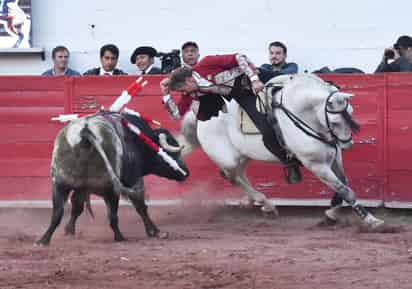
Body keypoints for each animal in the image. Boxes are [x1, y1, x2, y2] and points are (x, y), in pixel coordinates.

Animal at [37, 111, 188, 244]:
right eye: (173, 153)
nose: (186, 172)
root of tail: (86, 131)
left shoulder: (82, 188)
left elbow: (76, 207)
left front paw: (69, 231)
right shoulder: (134, 180)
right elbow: (140, 206)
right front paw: (155, 232)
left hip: (60, 183)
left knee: (57, 212)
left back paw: (43, 240)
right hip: (109, 188)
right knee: (114, 215)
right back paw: (120, 237)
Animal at [179, 73, 384, 228]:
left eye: (351, 112)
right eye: (335, 122)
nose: (347, 144)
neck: (303, 114)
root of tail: (199, 117)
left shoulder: (334, 158)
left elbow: (343, 184)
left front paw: (331, 214)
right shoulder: (316, 164)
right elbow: (345, 190)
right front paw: (372, 221)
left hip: (243, 155)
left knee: (238, 175)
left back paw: (258, 203)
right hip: (229, 158)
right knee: (232, 176)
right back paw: (263, 203)